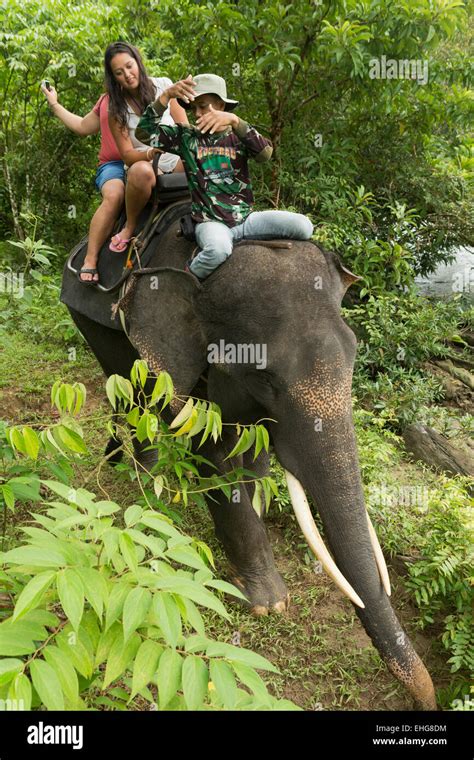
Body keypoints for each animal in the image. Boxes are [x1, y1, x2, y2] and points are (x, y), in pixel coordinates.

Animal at [62, 215, 436, 712]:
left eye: (355, 357)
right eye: (264, 376)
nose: (429, 699)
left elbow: (253, 452)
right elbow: (207, 447)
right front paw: (269, 602)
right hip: (92, 322)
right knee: (128, 388)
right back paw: (137, 472)